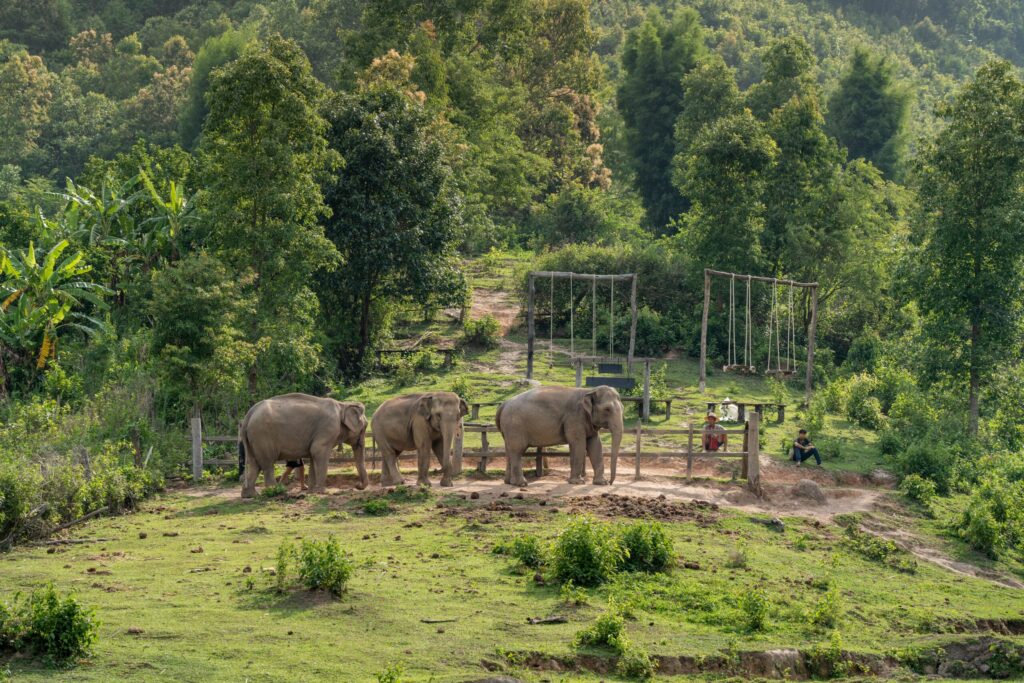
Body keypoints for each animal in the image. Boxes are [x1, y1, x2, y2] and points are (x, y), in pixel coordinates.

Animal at [239, 393, 368, 498]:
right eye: (364, 428)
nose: (357, 485)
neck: (343, 405)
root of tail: (248, 415)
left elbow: (313, 455)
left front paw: (311, 491)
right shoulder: (328, 428)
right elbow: (318, 451)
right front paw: (323, 492)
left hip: (254, 439)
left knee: (255, 464)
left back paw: (251, 495)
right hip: (262, 436)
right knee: (267, 464)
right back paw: (275, 492)